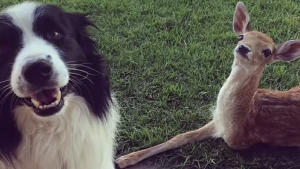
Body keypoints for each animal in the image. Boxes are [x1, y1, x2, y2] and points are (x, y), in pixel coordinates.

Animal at [115, 1, 300, 168]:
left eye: (267, 51)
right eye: (241, 37)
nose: (243, 48)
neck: (238, 119)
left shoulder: (239, 141)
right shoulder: (216, 121)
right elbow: (180, 137)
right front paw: (124, 159)